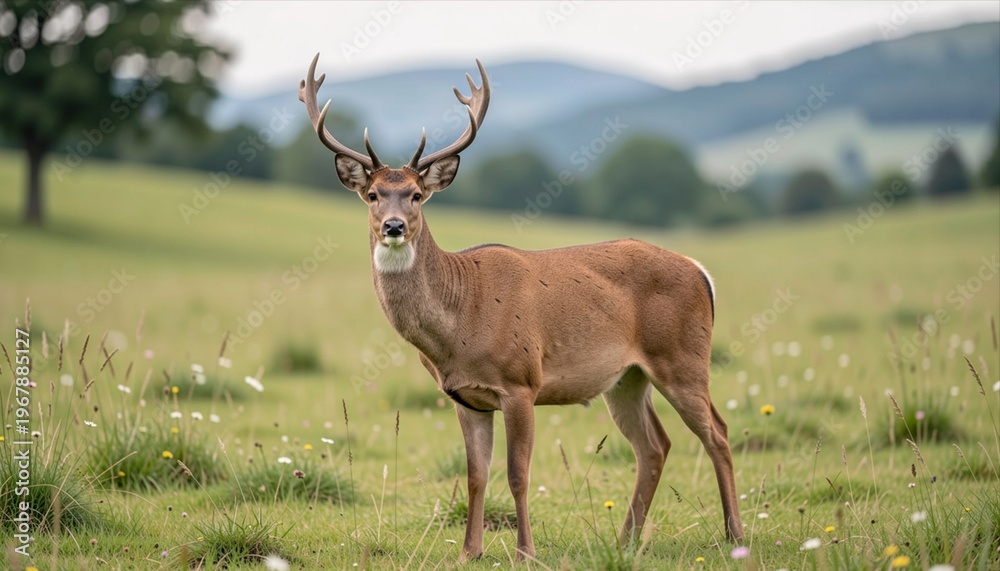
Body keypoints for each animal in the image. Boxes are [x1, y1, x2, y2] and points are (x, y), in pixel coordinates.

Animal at [299, 53, 744, 562]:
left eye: (415, 194)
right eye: (372, 195)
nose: (393, 226)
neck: (460, 324)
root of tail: (701, 272)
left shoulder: (521, 382)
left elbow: (517, 474)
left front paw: (526, 552)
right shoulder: (464, 397)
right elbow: (475, 475)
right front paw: (468, 552)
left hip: (683, 357)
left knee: (718, 432)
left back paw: (734, 535)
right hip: (626, 377)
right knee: (655, 445)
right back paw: (625, 541)